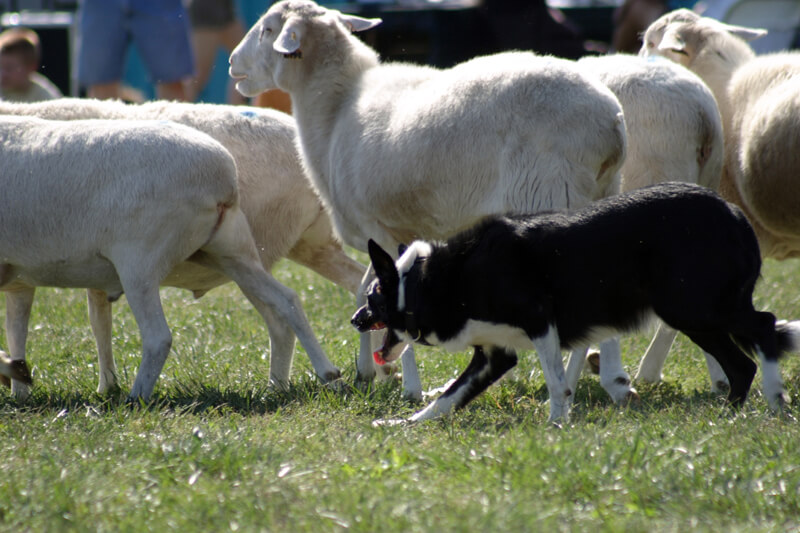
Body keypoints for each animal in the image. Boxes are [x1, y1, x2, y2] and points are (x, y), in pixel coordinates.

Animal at [0, 101, 362, 400]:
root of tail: (222, 176)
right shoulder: (23, 278)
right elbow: (30, 329)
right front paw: (25, 389)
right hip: (260, 251)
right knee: (311, 297)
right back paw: (323, 378)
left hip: (144, 261)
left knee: (163, 336)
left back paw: (137, 398)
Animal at [228, 0, 628, 402]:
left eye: (267, 30)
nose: (232, 63)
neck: (334, 110)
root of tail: (610, 119)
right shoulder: (400, 231)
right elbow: (363, 288)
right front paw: (371, 371)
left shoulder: (377, 224)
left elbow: (389, 292)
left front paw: (407, 384)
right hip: (602, 193)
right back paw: (596, 380)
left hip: (550, 194)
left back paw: (593, 381)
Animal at [354, 183, 800, 424]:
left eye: (374, 297)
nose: (356, 319)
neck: (435, 281)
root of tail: (734, 212)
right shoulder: (495, 356)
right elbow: (448, 398)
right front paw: (403, 423)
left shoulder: (539, 320)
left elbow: (556, 382)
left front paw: (556, 425)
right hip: (696, 316)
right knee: (741, 364)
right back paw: (730, 414)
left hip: (694, 307)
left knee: (764, 326)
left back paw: (775, 400)